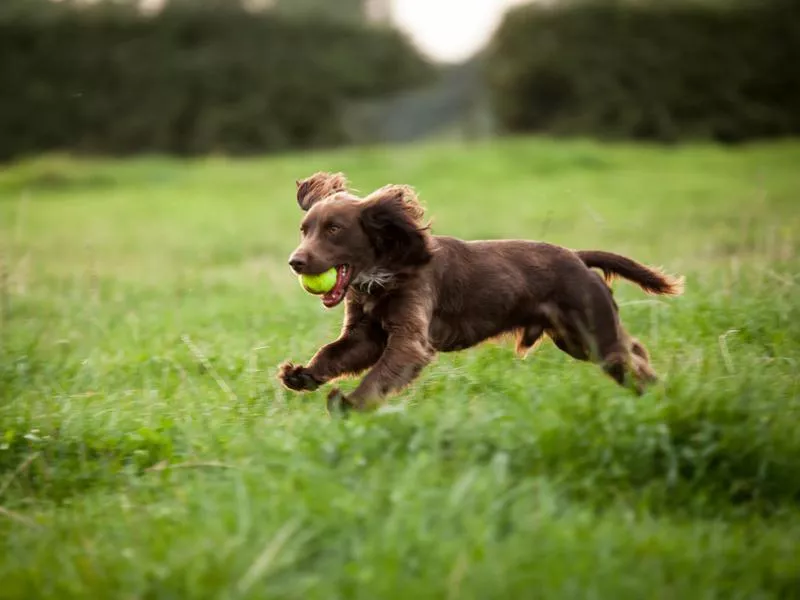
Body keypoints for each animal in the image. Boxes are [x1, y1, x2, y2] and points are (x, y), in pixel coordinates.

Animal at [278, 171, 684, 410]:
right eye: (304, 229)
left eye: (334, 229)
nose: (295, 262)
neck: (386, 270)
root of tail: (578, 257)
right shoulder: (366, 335)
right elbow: (333, 353)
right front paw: (302, 375)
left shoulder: (410, 340)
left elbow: (379, 375)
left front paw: (349, 403)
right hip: (575, 340)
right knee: (633, 351)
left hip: (593, 336)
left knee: (630, 358)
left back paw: (663, 397)